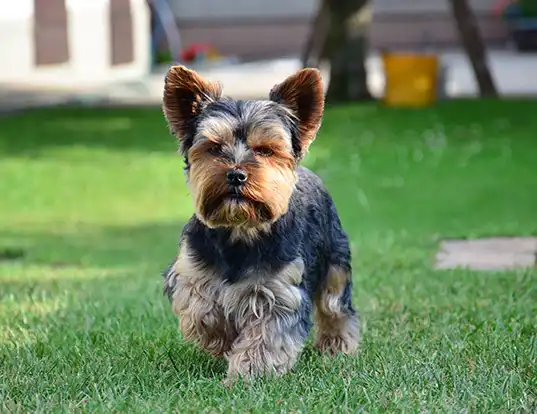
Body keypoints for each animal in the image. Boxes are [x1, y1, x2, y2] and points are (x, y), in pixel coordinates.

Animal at [160, 65, 360, 384]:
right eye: (215, 147)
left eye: (265, 150)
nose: (236, 174)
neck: (240, 229)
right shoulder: (190, 272)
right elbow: (201, 308)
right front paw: (222, 337)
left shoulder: (280, 291)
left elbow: (269, 334)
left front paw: (249, 374)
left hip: (335, 260)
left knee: (336, 306)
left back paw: (337, 346)